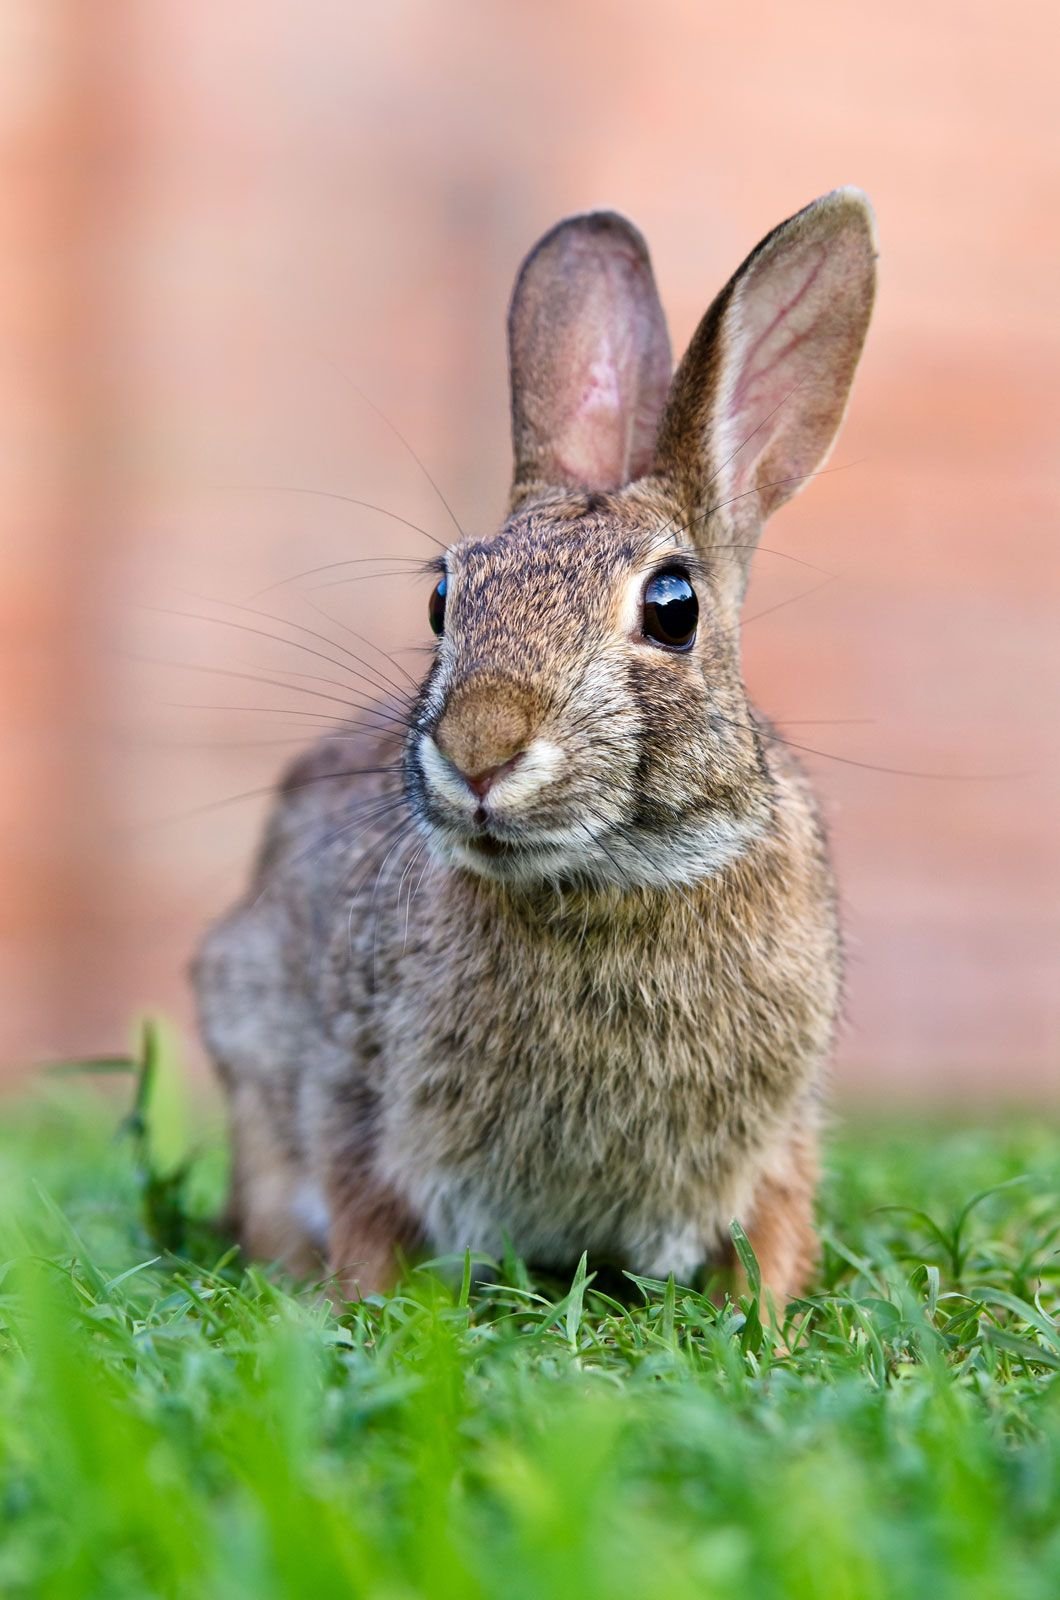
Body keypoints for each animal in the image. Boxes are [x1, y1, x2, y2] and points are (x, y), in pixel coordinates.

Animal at [194, 187, 877, 1305]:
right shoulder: (351, 1087)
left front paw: (768, 1317)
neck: (613, 876)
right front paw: (364, 1308)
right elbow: (363, 1216)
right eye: (442, 597)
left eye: (673, 607)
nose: (478, 749)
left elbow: (774, 1236)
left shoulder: (780, 1137)